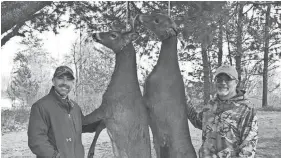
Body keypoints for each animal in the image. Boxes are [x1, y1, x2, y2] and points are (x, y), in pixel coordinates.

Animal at [82, 18, 151, 158]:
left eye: (113, 35)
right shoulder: (107, 116)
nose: (94, 34)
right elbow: (97, 126)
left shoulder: (107, 107)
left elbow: (85, 119)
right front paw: (90, 152)